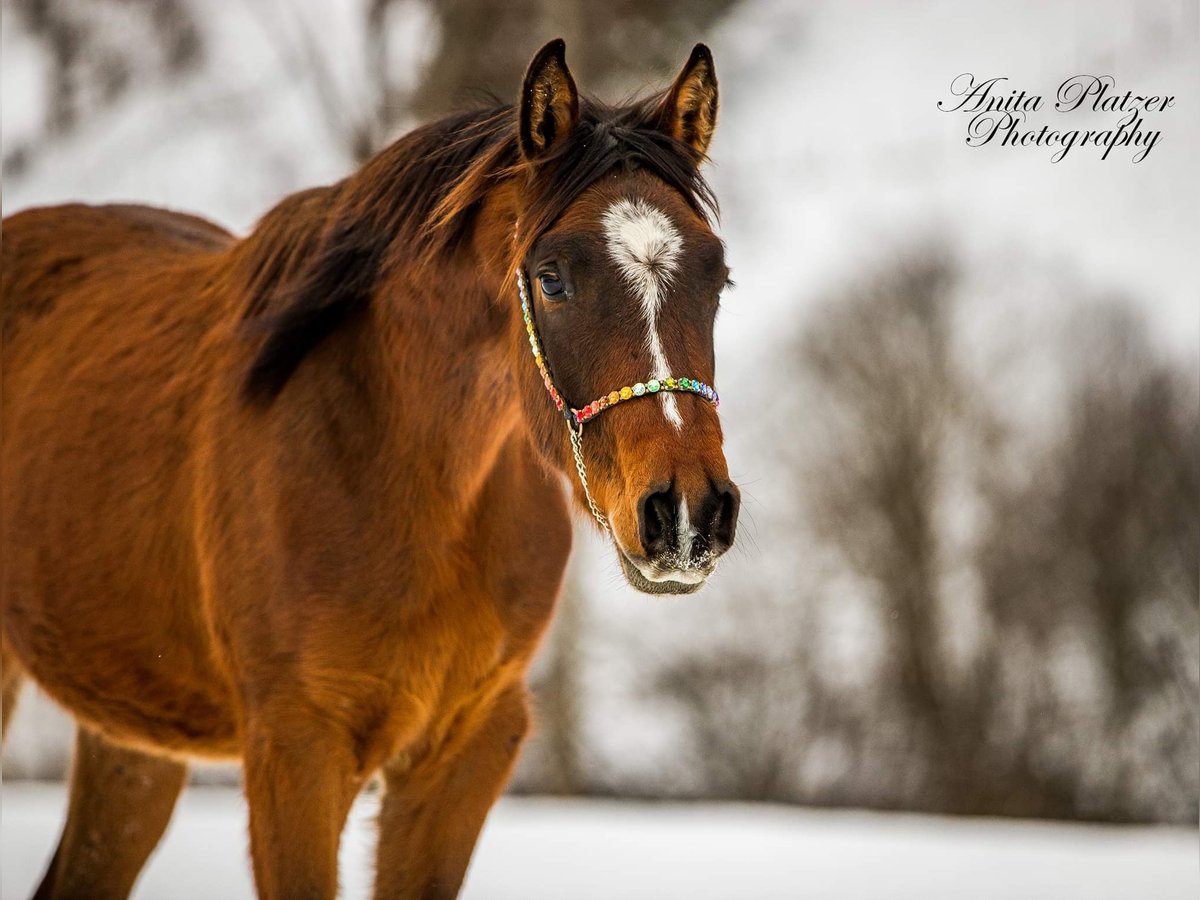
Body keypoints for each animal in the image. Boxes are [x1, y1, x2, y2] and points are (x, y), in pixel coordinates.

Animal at [0, 38, 734, 897]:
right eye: (551, 278)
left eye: (717, 277)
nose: (686, 513)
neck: (403, 481)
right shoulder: (296, 750)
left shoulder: (465, 751)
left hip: (136, 739)